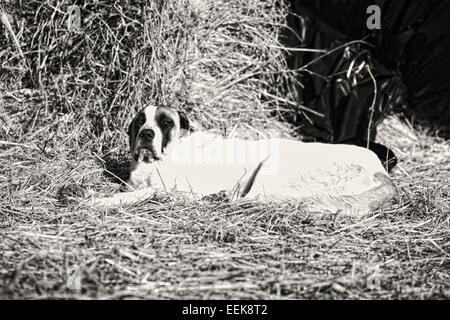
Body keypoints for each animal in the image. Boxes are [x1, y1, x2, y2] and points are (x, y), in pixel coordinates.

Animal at [59, 106, 398, 216]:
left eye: (165, 123)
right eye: (140, 120)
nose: (145, 133)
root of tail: (381, 171)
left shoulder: (170, 189)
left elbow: (138, 194)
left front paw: (95, 201)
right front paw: (80, 191)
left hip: (272, 163)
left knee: (252, 200)